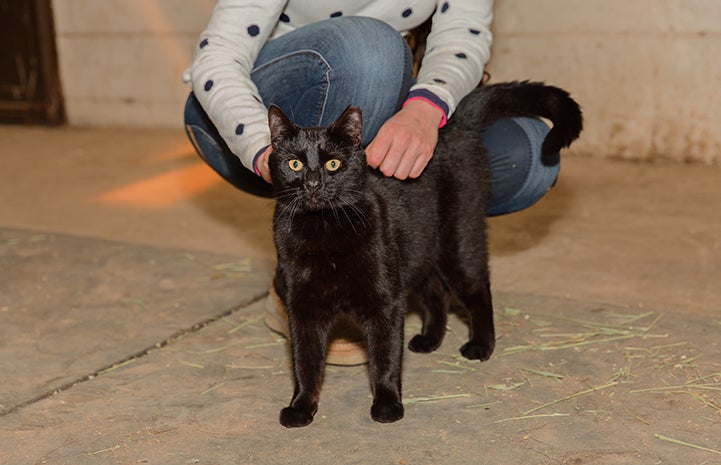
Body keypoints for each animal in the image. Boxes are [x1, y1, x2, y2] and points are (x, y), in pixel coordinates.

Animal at [268, 81, 584, 426]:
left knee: (477, 288)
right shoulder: (303, 309)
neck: (323, 231)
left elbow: (386, 357)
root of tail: (453, 128)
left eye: (333, 164)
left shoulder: (386, 303)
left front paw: (388, 404)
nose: (312, 184)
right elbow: (305, 362)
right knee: (437, 293)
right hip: (420, 252)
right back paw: (430, 339)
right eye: (294, 164)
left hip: (458, 241)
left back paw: (480, 345)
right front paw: (301, 407)